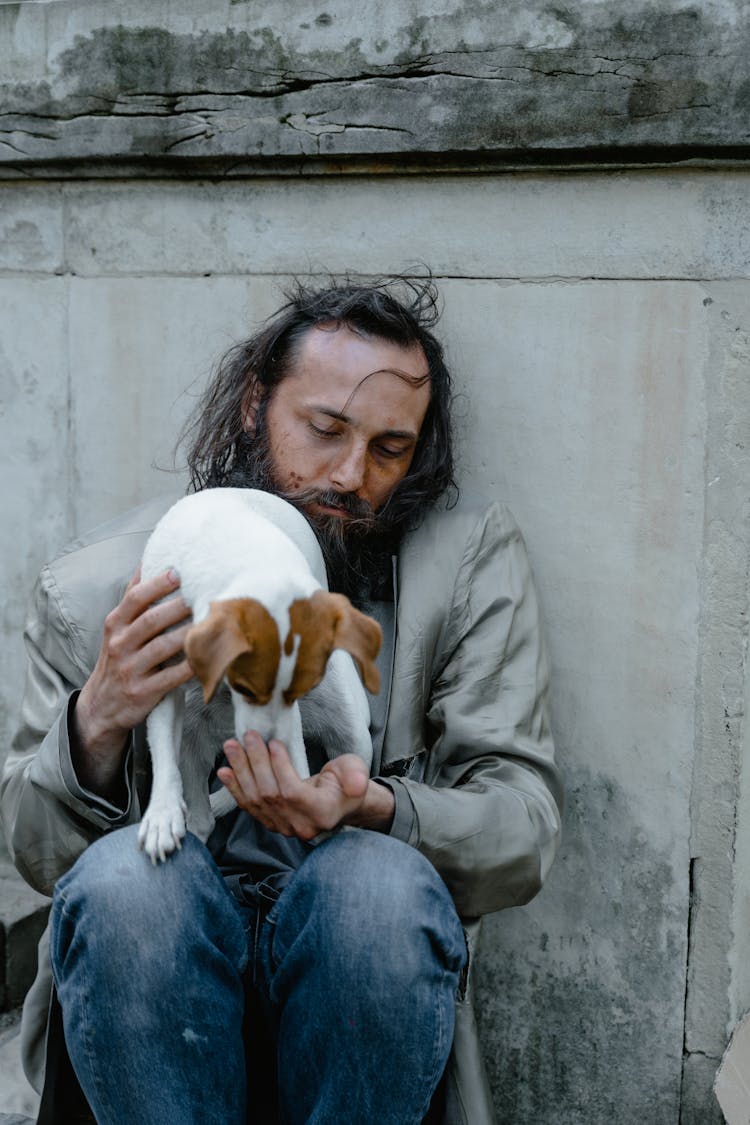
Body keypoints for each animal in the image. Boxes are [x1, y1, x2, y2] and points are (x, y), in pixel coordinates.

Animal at [135, 488, 382, 864]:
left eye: (296, 691)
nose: (265, 750)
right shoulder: (160, 677)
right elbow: (163, 751)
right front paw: (162, 814)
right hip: (192, 736)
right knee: (200, 812)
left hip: (352, 733)